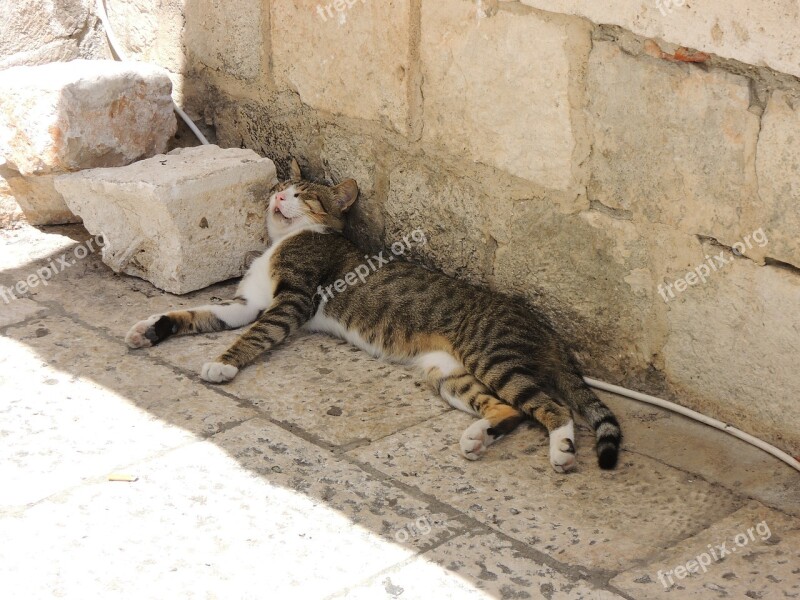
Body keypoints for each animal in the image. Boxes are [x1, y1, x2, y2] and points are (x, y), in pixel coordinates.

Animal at [126, 159, 624, 474]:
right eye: (281, 186)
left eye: (304, 195)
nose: (280, 194)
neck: (285, 241)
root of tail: (546, 328)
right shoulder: (245, 304)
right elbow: (198, 312)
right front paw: (150, 328)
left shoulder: (292, 301)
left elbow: (255, 335)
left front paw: (223, 364)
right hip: (448, 374)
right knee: (511, 409)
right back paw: (479, 437)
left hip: (492, 356)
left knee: (554, 407)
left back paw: (561, 451)